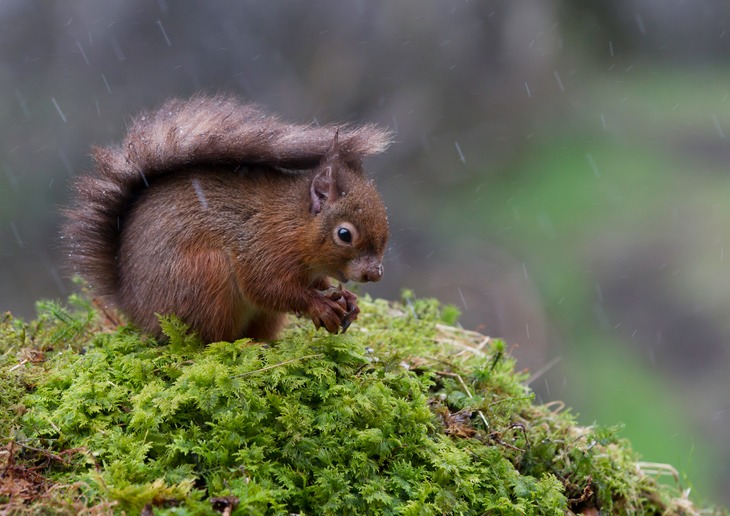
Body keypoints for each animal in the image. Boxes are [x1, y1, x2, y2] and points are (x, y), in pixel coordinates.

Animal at [61, 95, 392, 342]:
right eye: (344, 234)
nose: (375, 274)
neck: (293, 222)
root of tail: (133, 308)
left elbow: (318, 283)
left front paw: (349, 300)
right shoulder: (261, 247)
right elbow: (268, 287)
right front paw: (320, 305)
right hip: (205, 276)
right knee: (209, 341)